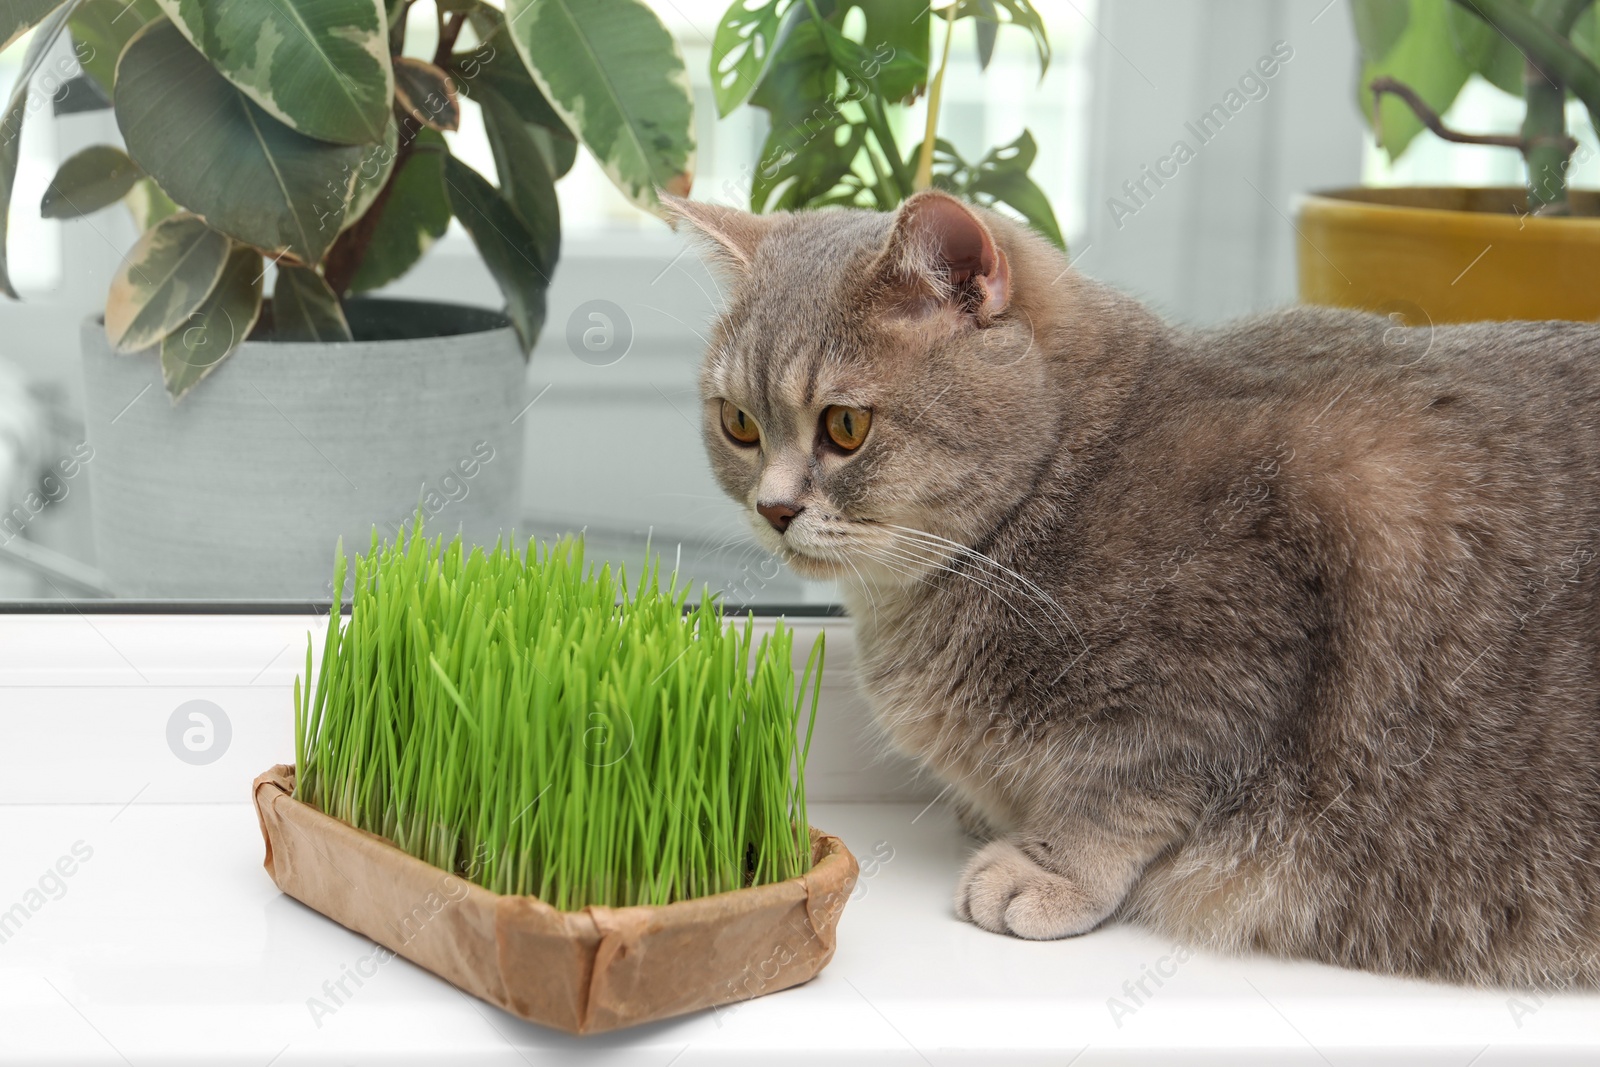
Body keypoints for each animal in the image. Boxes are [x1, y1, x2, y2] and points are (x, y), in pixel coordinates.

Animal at [659, 191, 1600, 991]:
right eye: (738, 423)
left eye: (845, 426)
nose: (774, 507)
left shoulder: (1223, 666)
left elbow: (1125, 791)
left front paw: (1047, 865)